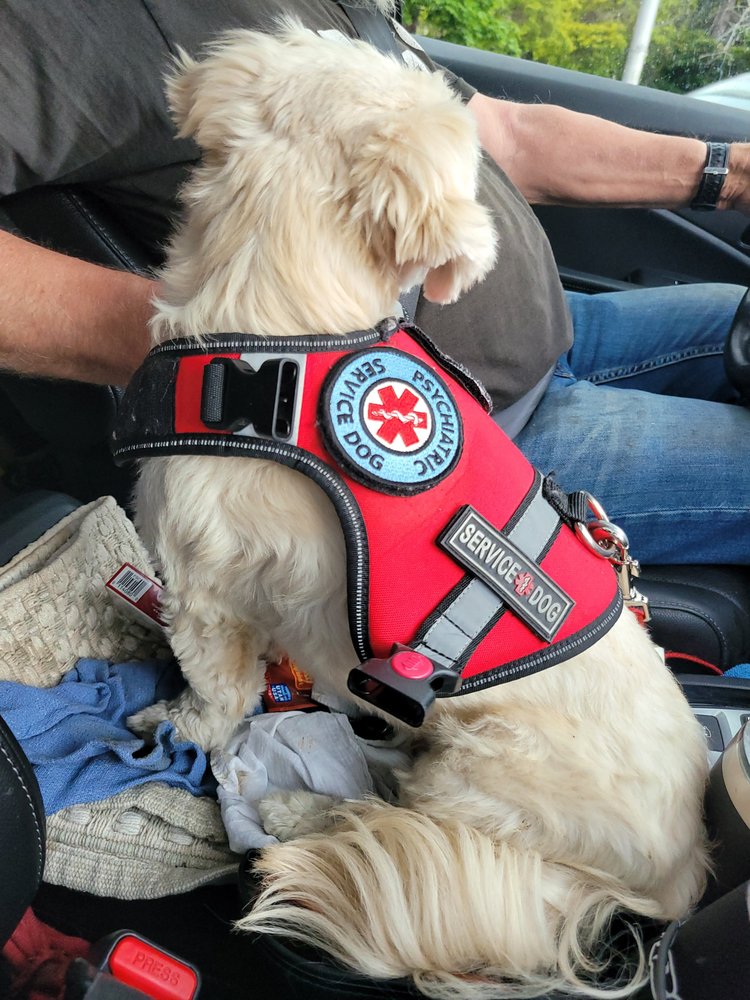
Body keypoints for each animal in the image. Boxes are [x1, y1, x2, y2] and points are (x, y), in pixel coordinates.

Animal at [126, 24, 709, 999]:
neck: (285, 336)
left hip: (480, 770)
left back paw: (295, 810)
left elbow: (216, 689)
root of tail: (680, 877)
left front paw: (182, 724)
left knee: (387, 800)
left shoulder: (204, 585)